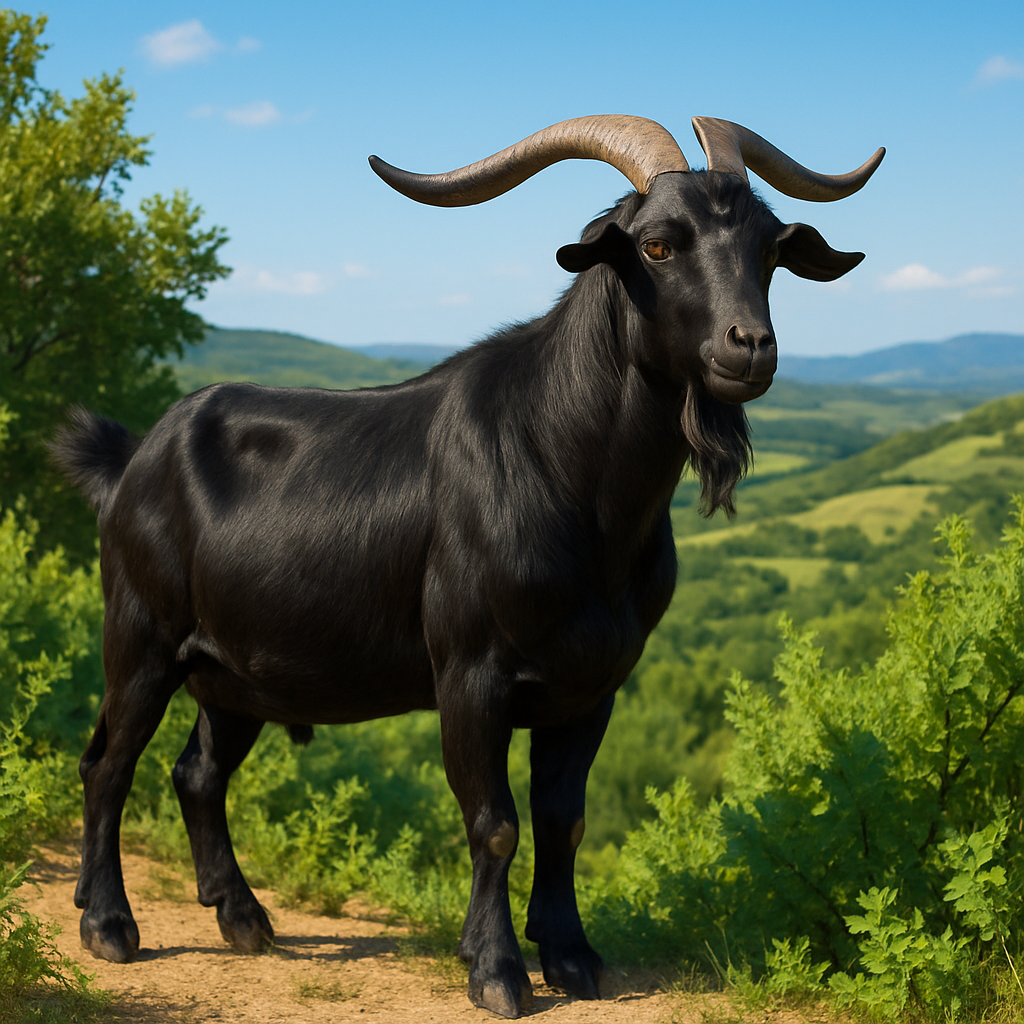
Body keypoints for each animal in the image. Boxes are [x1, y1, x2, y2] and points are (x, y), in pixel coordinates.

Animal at [54, 115, 882, 1018]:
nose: (751, 347)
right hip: (142, 635)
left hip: (234, 671)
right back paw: (108, 924)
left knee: (197, 772)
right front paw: (496, 970)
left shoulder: (592, 686)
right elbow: (495, 821)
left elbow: (563, 820)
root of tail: (132, 460)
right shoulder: (470, 674)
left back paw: (241, 916)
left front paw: (572, 956)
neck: (570, 475)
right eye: (659, 245)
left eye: (769, 250)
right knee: (109, 765)